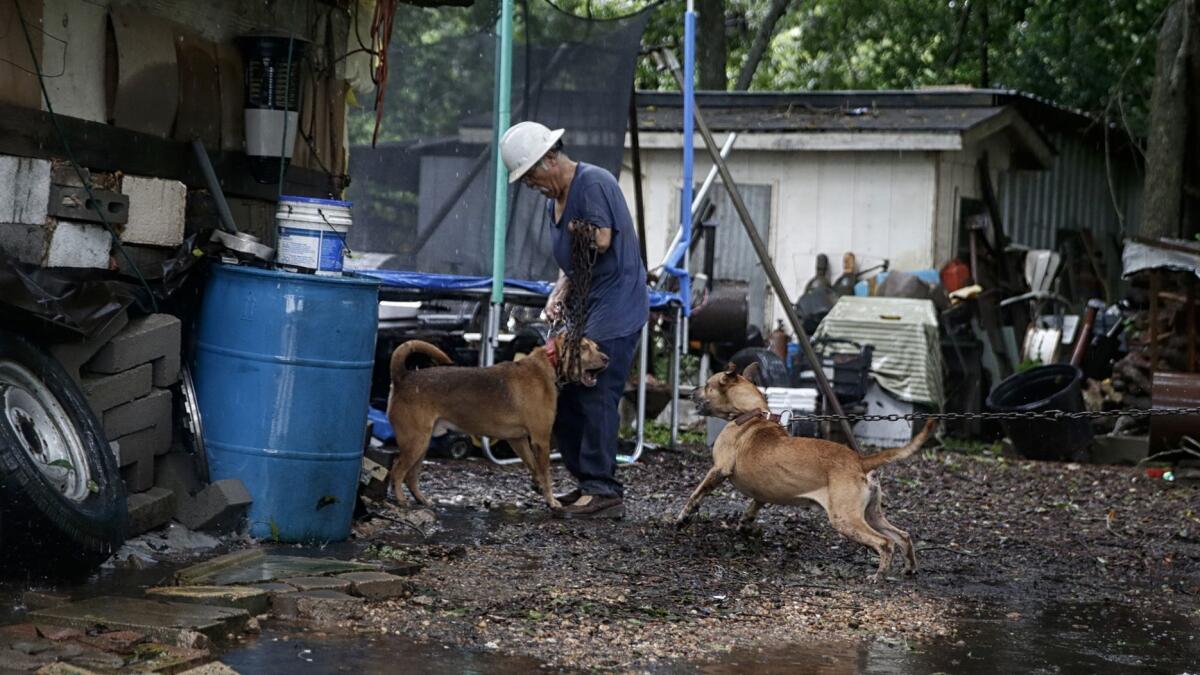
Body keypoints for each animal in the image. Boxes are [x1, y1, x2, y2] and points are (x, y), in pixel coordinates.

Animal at [386, 338, 609, 506]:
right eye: (583, 347)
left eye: (596, 346)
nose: (607, 359)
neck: (549, 363)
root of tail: (403, 378)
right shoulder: (541, 439)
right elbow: (545, 472)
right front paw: (551, 501)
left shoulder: (518, 440)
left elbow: (533, 466)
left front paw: (537, 485)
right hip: (415, 442)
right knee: (397, 471)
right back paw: (401, 500)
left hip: (422, 444)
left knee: (410, 476)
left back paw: (422, 500)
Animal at [681, 362, 931, 578]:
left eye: (707, 384)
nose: (691, 392)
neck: (749, 414)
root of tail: (860, 460)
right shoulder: (761, 491)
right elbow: (754, 506)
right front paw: (745, 524)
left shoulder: (718, 470)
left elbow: (696, 494)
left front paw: (683, 517)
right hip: (871, 514)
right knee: (902, 536)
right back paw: (909, 568)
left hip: (845, 519)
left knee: (884, 542)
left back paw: (879, 575)